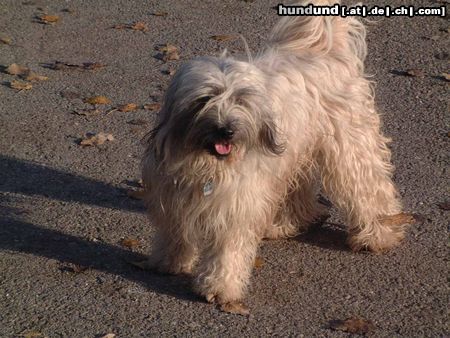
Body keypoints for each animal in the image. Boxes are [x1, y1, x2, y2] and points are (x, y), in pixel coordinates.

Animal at [142, 0, 406, 304]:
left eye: (241, 100)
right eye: (206, 98)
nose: (226, 130)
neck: (207, 163)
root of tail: (327, 48)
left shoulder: (239, 201)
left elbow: (228, 245)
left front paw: (220, 285)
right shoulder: (173, 191)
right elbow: (175, 229)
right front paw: (170, 260)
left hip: (350, 148)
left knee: (368, 188)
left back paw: (378, 234)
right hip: (296, 151)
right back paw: (288, 223)